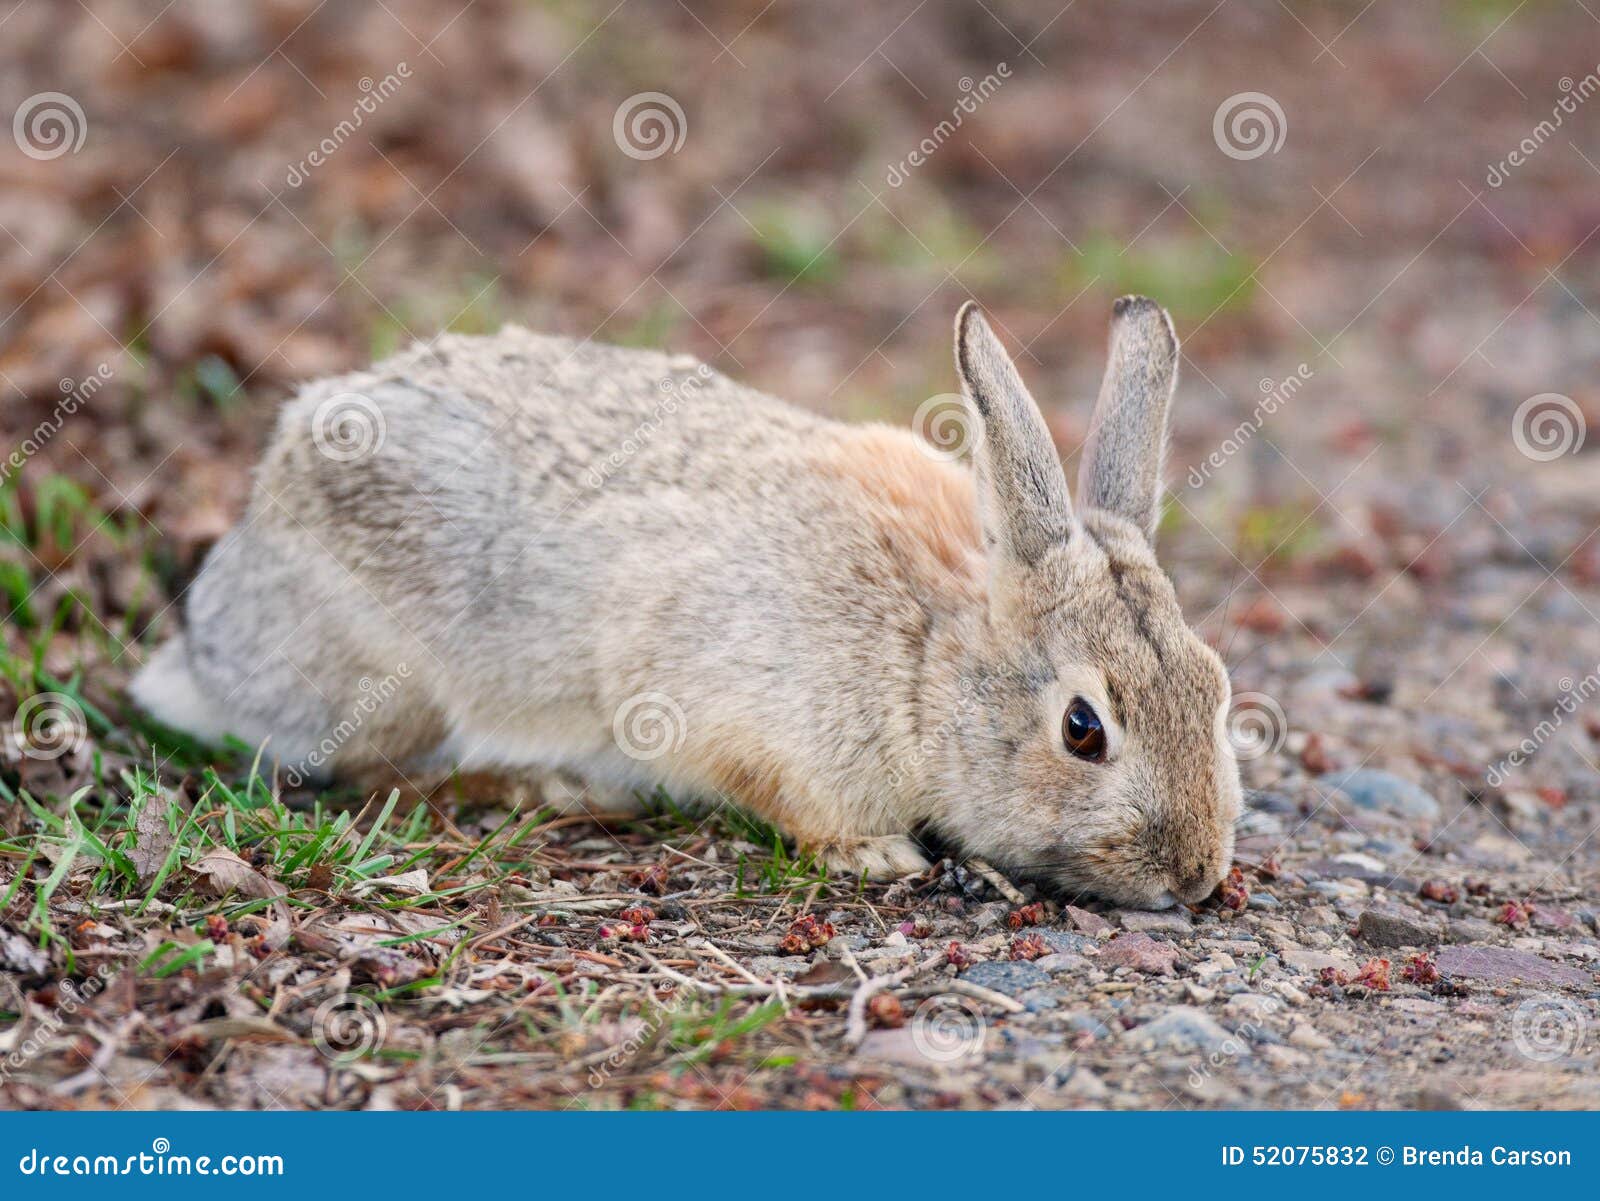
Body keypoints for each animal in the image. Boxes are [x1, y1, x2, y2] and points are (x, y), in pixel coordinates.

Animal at [132, 294, 1241, 909]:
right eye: (1083, 729)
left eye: (1217, 687)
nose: (1194, 875)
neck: (928, 658)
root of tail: (208, 638)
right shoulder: (726, 707)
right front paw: (876, 854)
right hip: (391, 683)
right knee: (366, 777)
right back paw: (548, 788)